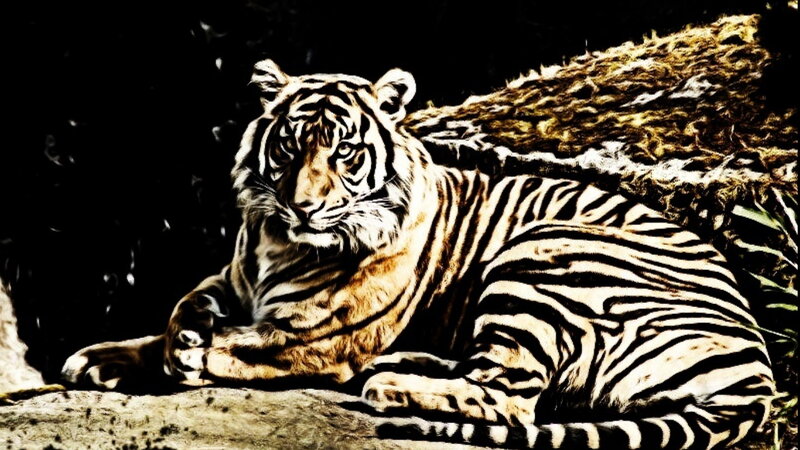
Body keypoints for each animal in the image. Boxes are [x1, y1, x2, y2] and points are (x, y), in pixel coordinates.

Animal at [62, 60, 775, 449]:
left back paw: (389, 385)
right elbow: (181, 308)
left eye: (344, 151)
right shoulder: (232, 278)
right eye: (290, 146)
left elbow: (240, 346)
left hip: (543, 253)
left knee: (513, 397)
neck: (273, 243)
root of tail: (758, 369)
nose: (303, 207)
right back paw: (411, 365)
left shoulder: (316, 336)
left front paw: (191, 354)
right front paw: (104, 358)